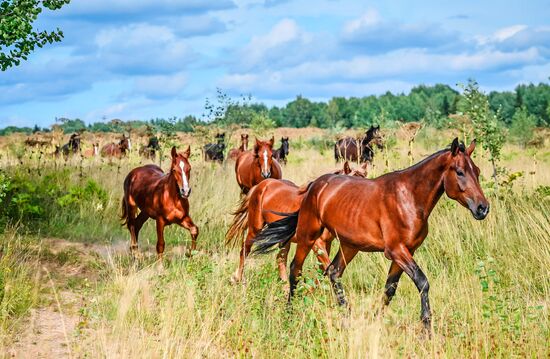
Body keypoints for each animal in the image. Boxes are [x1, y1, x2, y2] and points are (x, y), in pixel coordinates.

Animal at [226, 162, 368, 284]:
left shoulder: (327, 243)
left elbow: (323, 269)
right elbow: (327, 266)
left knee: (281, 259)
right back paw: (237, 279)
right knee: (245, 250)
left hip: (284, 239)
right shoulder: (317, 243)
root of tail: (262, 185)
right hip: (255, 228)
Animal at [254, 139, 492, 334]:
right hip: (308, 235)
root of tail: (314, 185)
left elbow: (390, 288)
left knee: (334, 272)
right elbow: (422, 282)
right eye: (459, 172)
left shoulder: (406, 252)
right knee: (296, 270)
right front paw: (426, 329)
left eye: (477, 171)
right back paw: (289, 313)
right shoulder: (396, 251)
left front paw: (376, 320)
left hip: (349, 246)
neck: (409, 197)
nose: (482, 208)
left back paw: (346, 316)